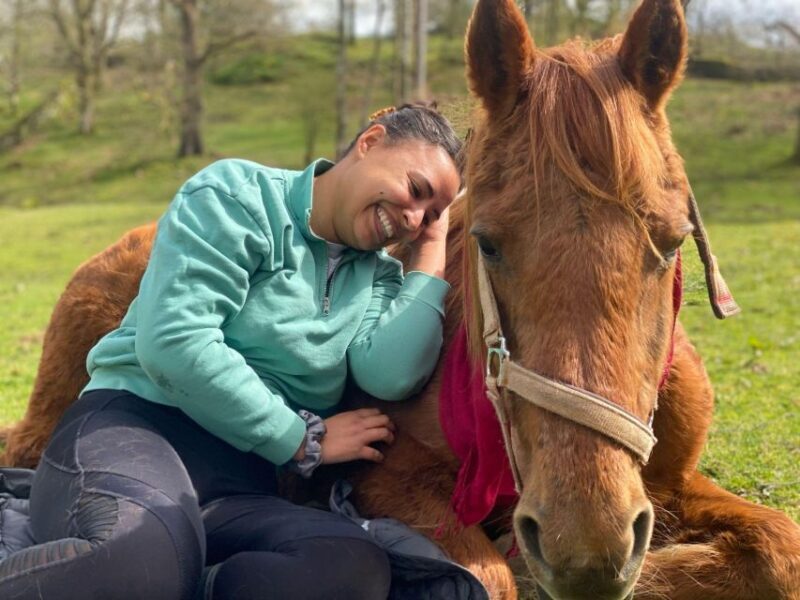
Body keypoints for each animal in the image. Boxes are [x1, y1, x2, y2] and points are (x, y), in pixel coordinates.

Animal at [2, 0, 800, 598]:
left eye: (669, 243)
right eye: (487, 242)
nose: (586, 548)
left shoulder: (668, 483)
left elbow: (778, 549)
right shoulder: (388, 481)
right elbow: (493, 577)